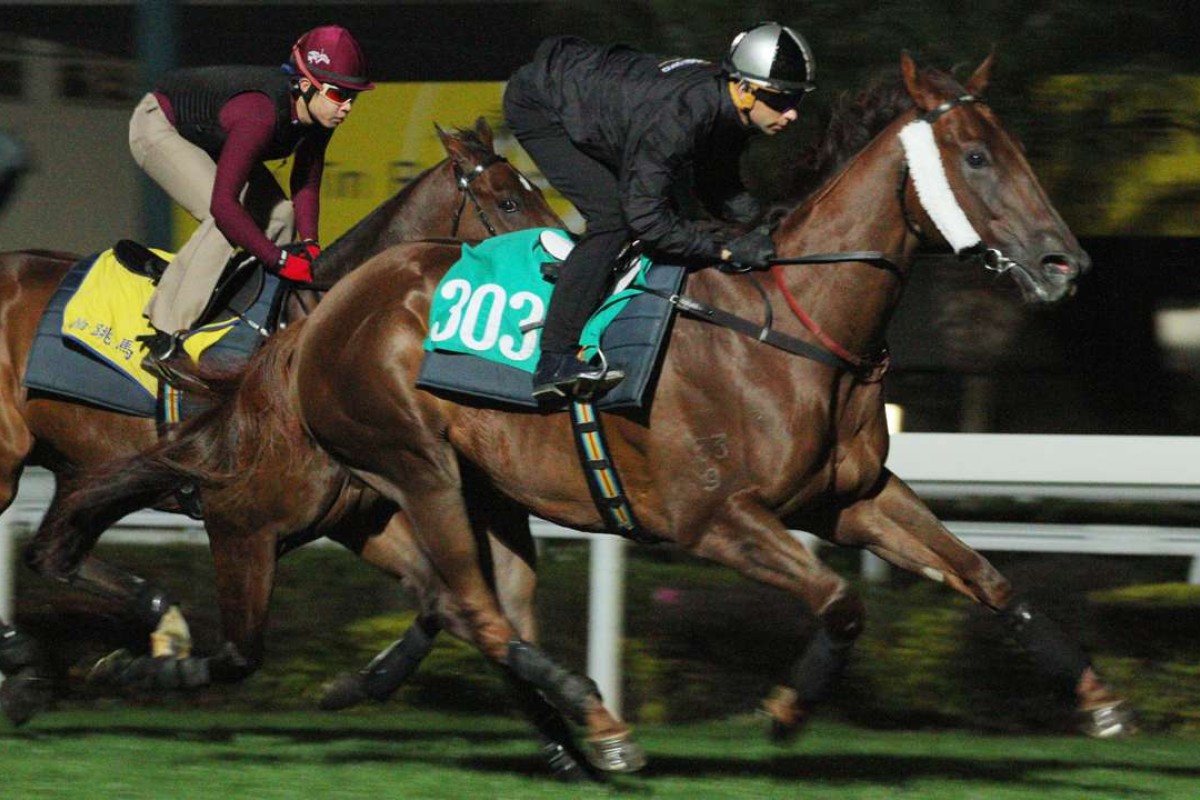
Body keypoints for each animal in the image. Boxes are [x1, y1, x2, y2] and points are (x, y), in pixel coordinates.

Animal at [0, 120, 559, 724]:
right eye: (508, 200)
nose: (566, 262)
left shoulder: (357, 505)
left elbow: (439, 599)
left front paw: (359, 683)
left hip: (73, 464)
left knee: (51, 554)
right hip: (12, 460)